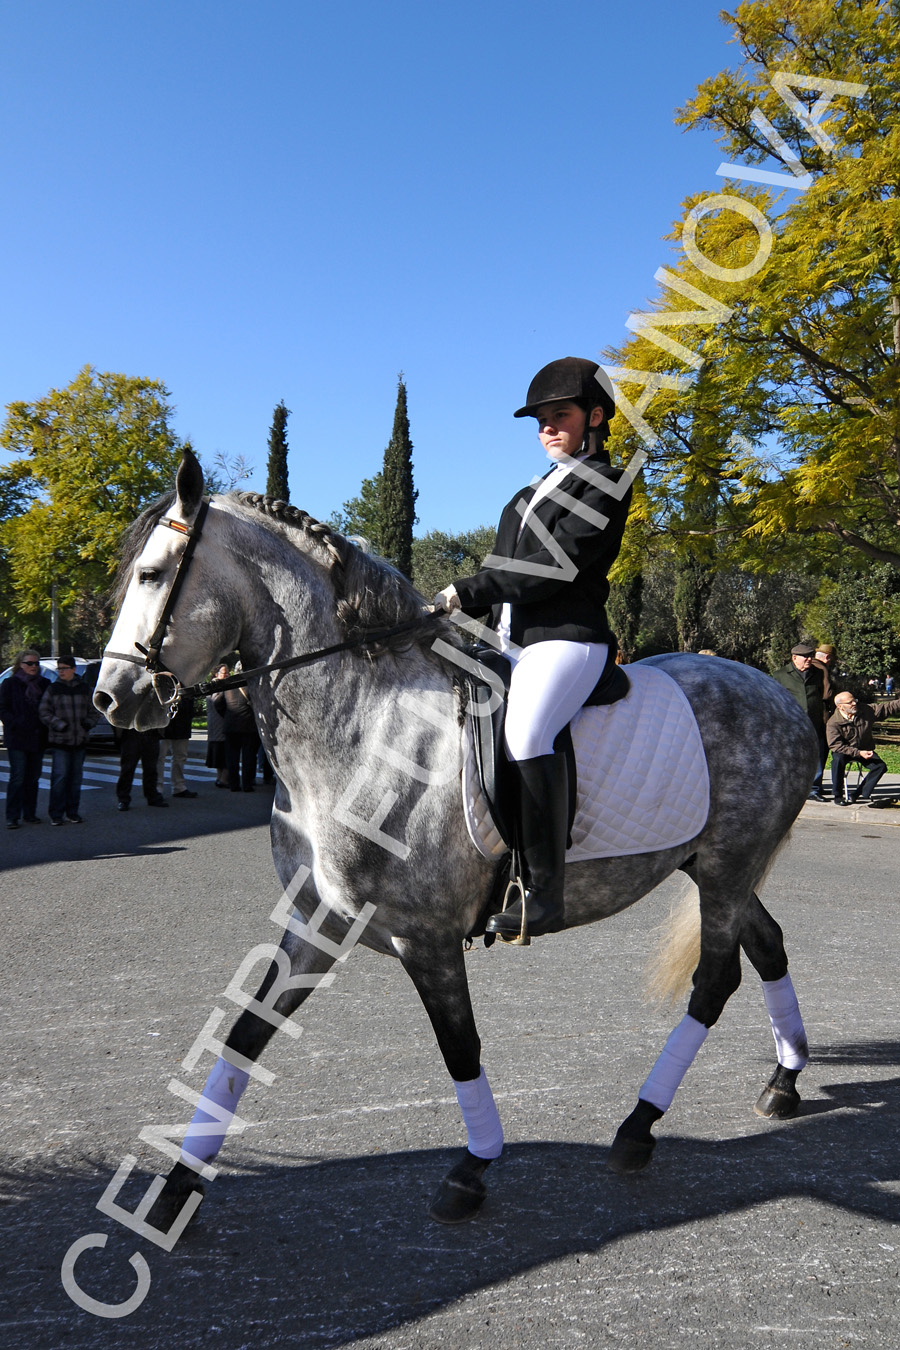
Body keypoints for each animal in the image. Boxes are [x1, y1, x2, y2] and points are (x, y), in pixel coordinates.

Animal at [95, 453, 820, 1236]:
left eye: (152, 574)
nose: (111, 698)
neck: (363, 725)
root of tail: (779, 696)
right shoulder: (314, 922)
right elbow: (244, 1036)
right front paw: (175, 1188)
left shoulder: (427, 935)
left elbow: (459, 1044)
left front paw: (472, 1168)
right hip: (717, 869)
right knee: (769, 945)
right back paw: (784, 1081)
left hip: (725, 869)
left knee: (714, 981)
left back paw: (638, 1127)